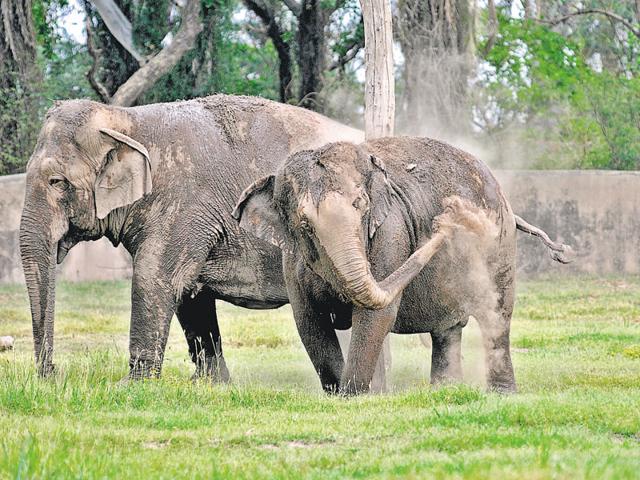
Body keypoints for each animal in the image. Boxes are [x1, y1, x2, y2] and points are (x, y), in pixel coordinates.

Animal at [19, 94, 365, 381]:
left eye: (56, 181)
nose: (52, 375)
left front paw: (132, 386)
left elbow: (153, 278)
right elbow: (190, 293)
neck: (127, 119)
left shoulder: (185, 205)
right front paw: (210, 385)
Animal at [233, 137, 571, 394]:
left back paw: (501, 394)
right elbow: (308, 320)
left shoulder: (390, 232)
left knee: (496, 315)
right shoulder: (291, 258)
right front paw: (338, 394)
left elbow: (376, 315)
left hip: (499, 243)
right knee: (447, 329)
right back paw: (445, 391)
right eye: (304, 225)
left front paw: (352, 396)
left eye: (361, 207)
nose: (447, 219)